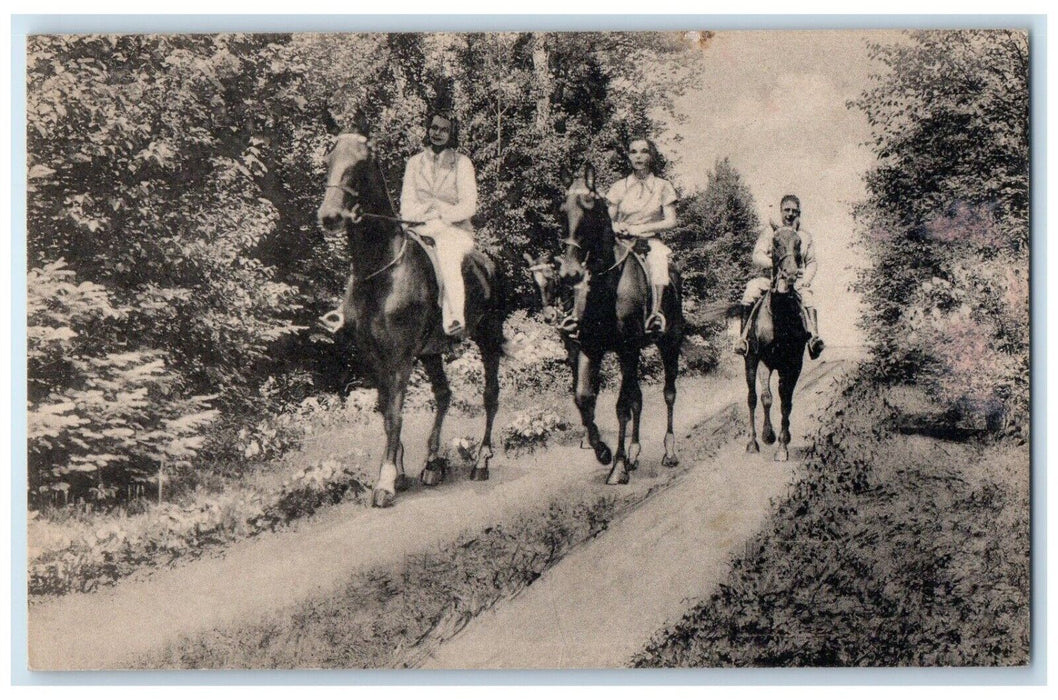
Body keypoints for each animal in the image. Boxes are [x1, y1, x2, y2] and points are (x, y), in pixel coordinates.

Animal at [315, 131, 505, 507]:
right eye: (329, 161)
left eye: (359, 165)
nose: (329, 216)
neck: (380, 271)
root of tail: (488, 264)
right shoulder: (373, 358)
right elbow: (385, 411)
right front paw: (399, 472)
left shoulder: (400, 358)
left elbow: (395, 413)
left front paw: (386, 481)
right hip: (431, 352)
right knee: (444, 394)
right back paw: (432, 463)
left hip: (487, 339)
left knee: (490, 395)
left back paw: (481, 461)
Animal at [545, 166, 685, 488]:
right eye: (562, 210)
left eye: (590, 207)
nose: (570, 272)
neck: (607, 287)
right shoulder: (590, 348)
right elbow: (584, 398)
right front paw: (604, 452)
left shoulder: (627, 348)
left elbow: (621, 406)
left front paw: (617, 466)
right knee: (638, 398)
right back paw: (634, 452)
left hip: (668, 343)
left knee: (668, 393)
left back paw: (668, 451)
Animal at [744, 227, 808, 463]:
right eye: (775, 242)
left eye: (799, 243)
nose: (789, 274)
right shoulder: (763, 360)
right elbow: (766, 398)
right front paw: (768, 436)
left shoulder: (793, 364)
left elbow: (785, 402)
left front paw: (783, 444)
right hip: (750, 361)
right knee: (752, 398)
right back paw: (752, 442)